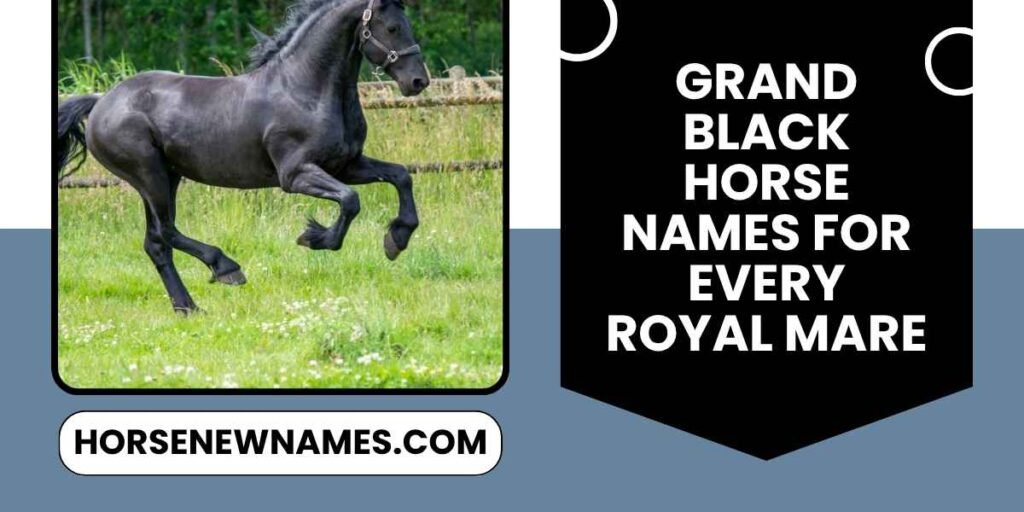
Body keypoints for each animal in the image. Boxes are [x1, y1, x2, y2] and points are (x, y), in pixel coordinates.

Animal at [55, 0, 429, 314]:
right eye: (392, 28)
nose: (418, 81)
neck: (305, 90)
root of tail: (101, 102)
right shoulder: (296, 175)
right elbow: (351, 201)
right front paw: (314, 238)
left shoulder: (347, 165)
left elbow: (400, 176)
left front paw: (396, 239)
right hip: (150, 176)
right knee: (166, 233)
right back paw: (226, 268)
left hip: (167, 177)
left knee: (157, 243)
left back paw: (188, 307)